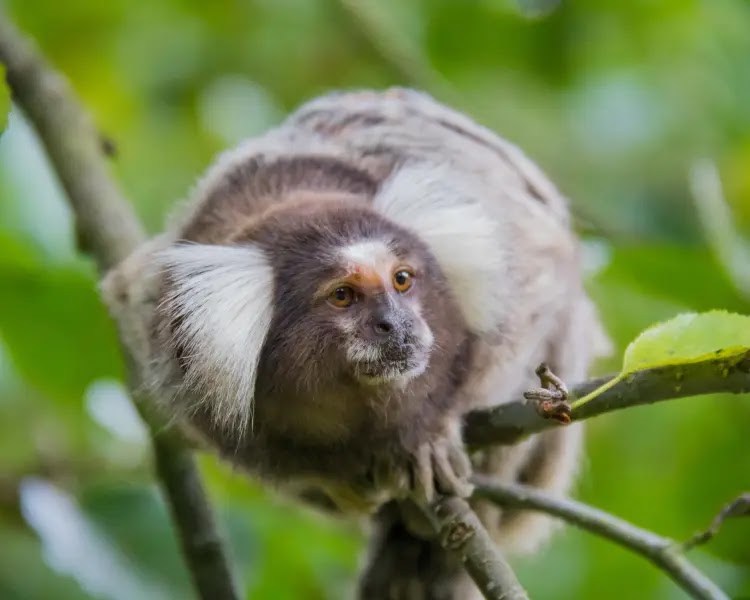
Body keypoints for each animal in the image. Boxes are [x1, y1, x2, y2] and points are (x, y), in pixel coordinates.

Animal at [104, 86, 604, 596]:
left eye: (402, 280)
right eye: (343, 296)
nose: (394, 323)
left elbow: (536, 290)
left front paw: (432, 434)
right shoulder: (164, 317)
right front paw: (332, 479)